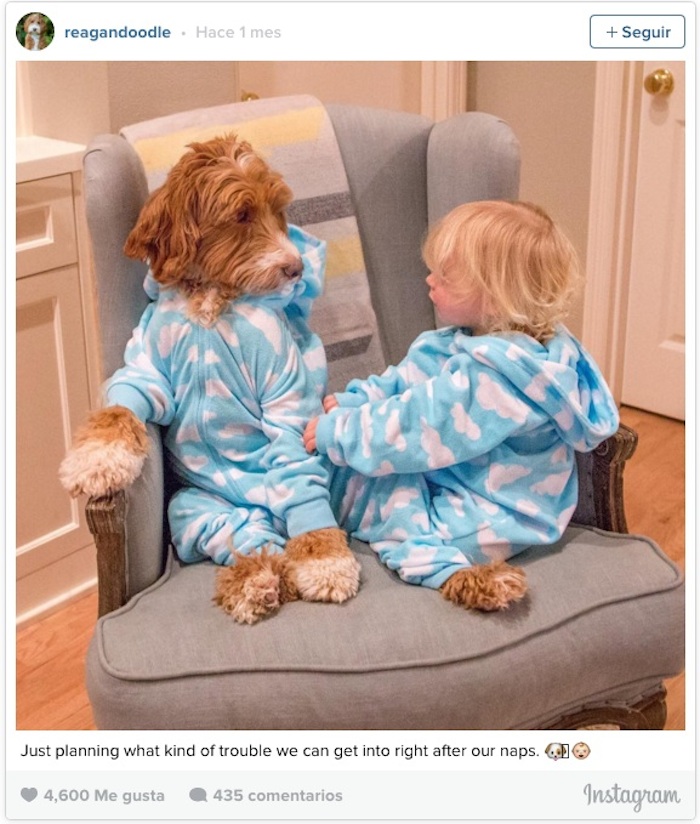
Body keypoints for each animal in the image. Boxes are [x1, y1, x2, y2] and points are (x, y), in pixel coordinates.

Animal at [60, 135, 361, 624]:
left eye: (278, 209)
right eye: (241, 215)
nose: (295, 268)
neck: (210, 299)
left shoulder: (282, 389)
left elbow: (296, 462)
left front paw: (326, 560)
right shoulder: (146, 368)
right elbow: (122, 406)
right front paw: (96, 461)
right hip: (193, 507)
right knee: (241, 536)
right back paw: (256, 581)